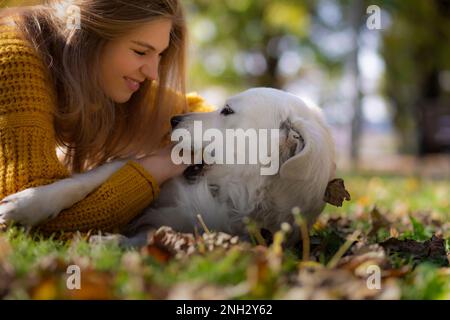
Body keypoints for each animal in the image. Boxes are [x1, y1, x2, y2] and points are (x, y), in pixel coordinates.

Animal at [0, 88, 336, 248]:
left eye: (227, 111)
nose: (173, 119)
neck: (230, 193)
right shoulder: (138, 165)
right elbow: (77, 184)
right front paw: (24, 205)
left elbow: (147, 239)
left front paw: (109, 243)